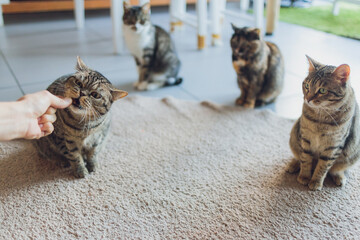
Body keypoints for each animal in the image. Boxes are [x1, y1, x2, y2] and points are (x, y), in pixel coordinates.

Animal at [286, 55, 360, 190]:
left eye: (322, 90)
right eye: (307, 86)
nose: (308, 99)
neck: (321, 117)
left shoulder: (333, 145)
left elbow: (323, 166)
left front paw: (316, 181)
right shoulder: (306, 137)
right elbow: (306, 159)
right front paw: (304, 177)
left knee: (336, 169)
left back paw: (339, 177)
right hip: (294, 135)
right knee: (299, 156)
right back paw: (293, 165)